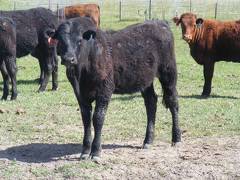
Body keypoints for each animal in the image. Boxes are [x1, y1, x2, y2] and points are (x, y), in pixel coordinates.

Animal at [47, 17, 181, 161]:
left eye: (79, 40)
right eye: (60, 40)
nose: (68, 59)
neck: (82, 73)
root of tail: (160, 23)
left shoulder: (105, 90)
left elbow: (98, 118)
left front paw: (95, 152)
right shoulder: (80, 94)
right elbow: (86, 119)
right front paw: (85, 151)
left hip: (168, 72)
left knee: (173, 101)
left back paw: (176, 138)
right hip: (146, 80)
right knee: (151, 102)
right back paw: (148, 141)